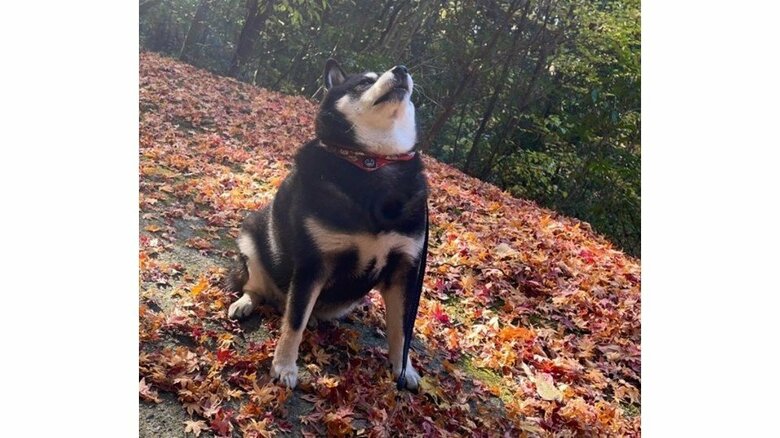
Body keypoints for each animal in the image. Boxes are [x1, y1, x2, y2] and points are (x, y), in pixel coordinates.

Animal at [226, 59, 428, 391]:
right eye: (363, 82)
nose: (402, 69)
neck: (371, 162)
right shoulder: (313, 264)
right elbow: (294, 322)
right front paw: (284, 366)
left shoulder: (405, 269)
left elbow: (401, 330)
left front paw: (403, 369)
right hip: (252, 240)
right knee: (256, 288)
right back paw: (245, 302)